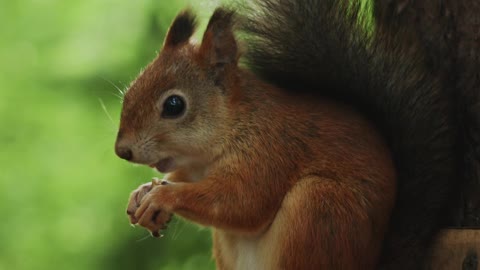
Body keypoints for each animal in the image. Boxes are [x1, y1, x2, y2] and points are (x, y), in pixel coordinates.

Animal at [111, 0, 468, 270]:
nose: (122, 151)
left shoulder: (269, 152)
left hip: (319, 208)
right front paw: (142, 193)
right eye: (130, 91)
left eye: (174, 105)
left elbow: (241, 203)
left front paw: (162, 197)